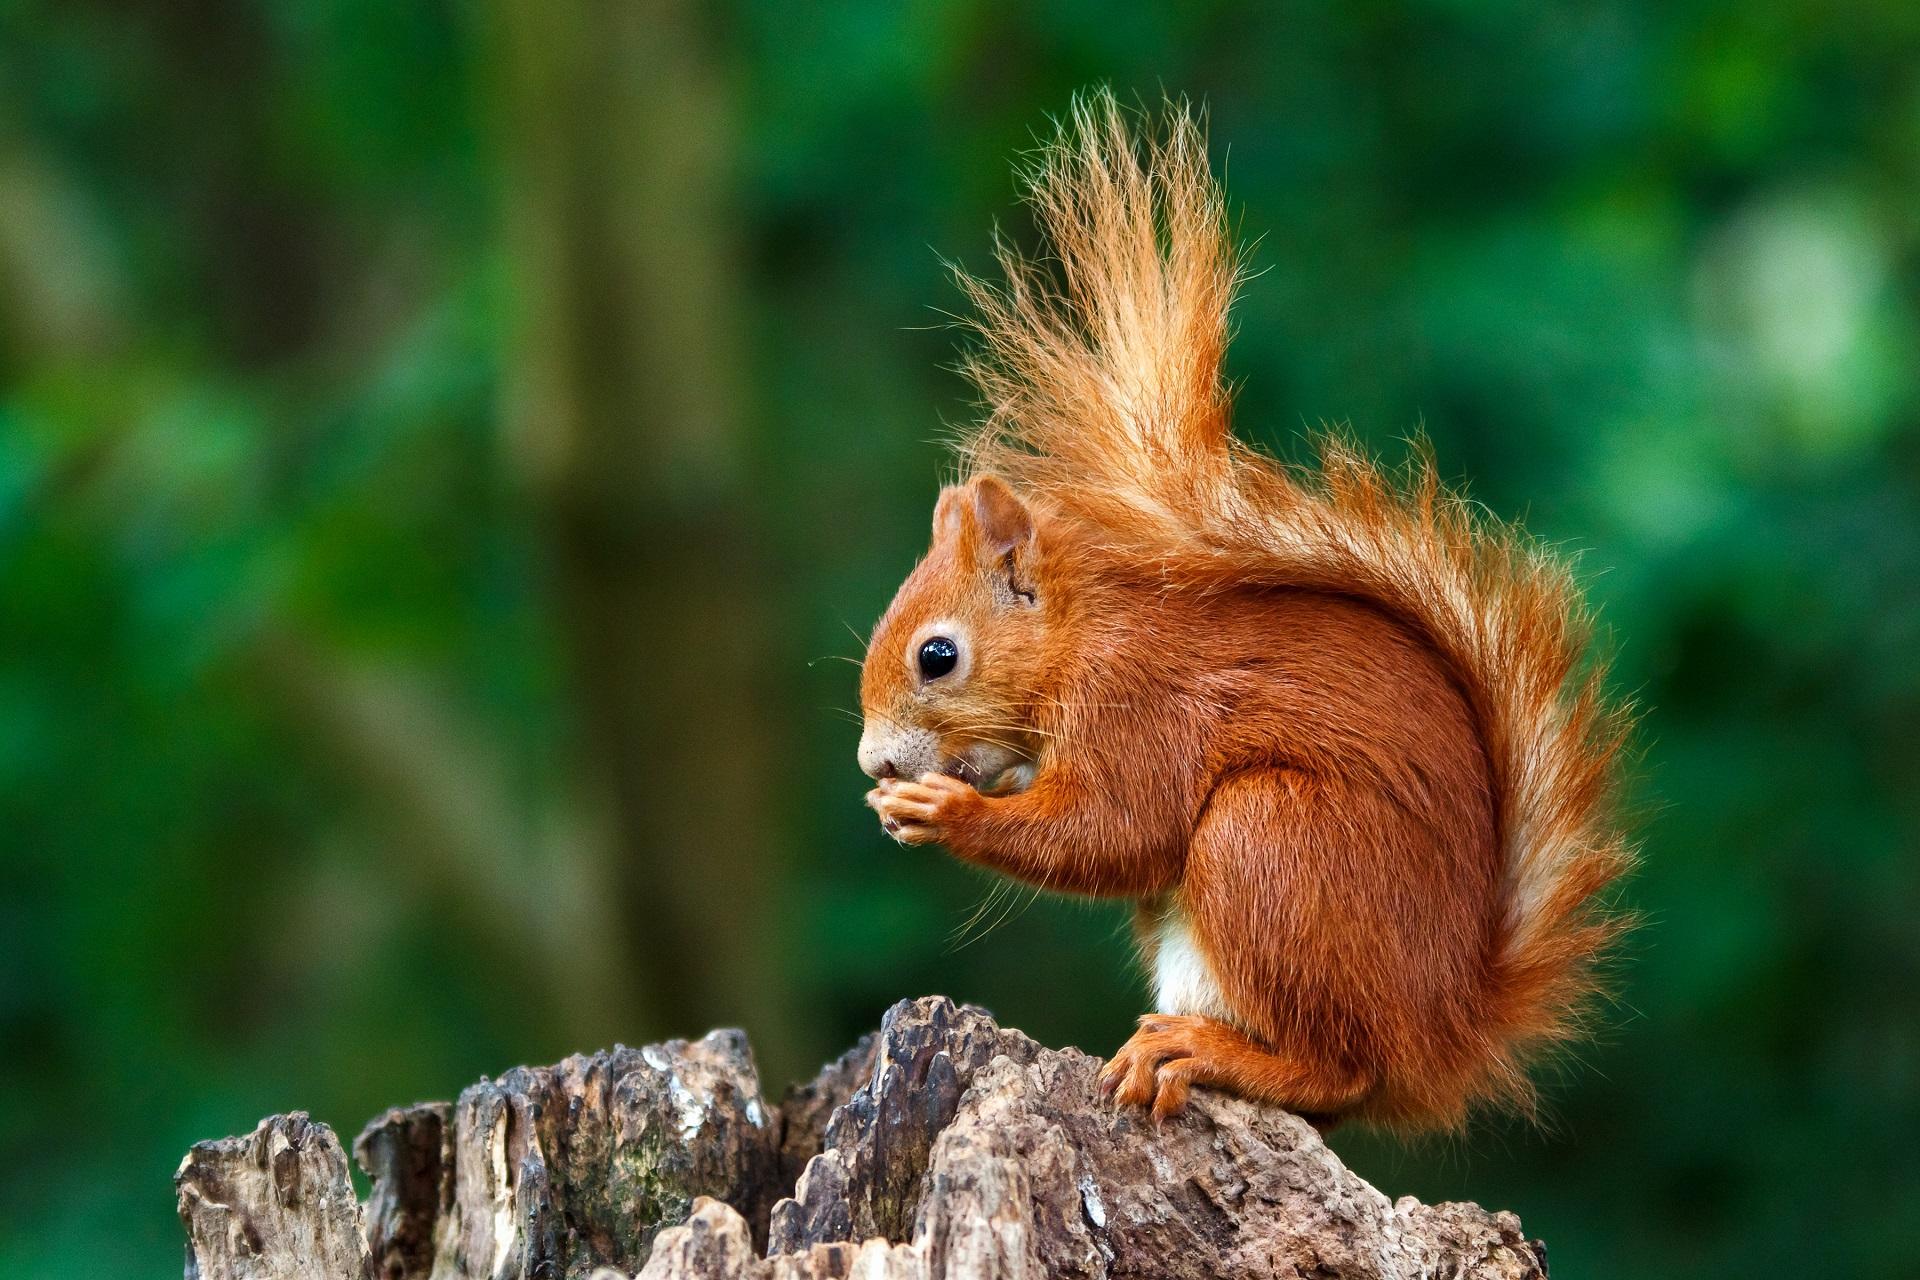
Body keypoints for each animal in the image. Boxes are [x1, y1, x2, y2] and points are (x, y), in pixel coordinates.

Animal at [864, 92, 1628, 1128]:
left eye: (937, 657)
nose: (873, 762)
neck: (1077, 640)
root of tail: (1443, 1033)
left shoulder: (1139, 704)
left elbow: (1114, 829)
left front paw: (943, 810)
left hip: (1273, 840)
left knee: (1338, 1069)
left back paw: (1209, 1053)